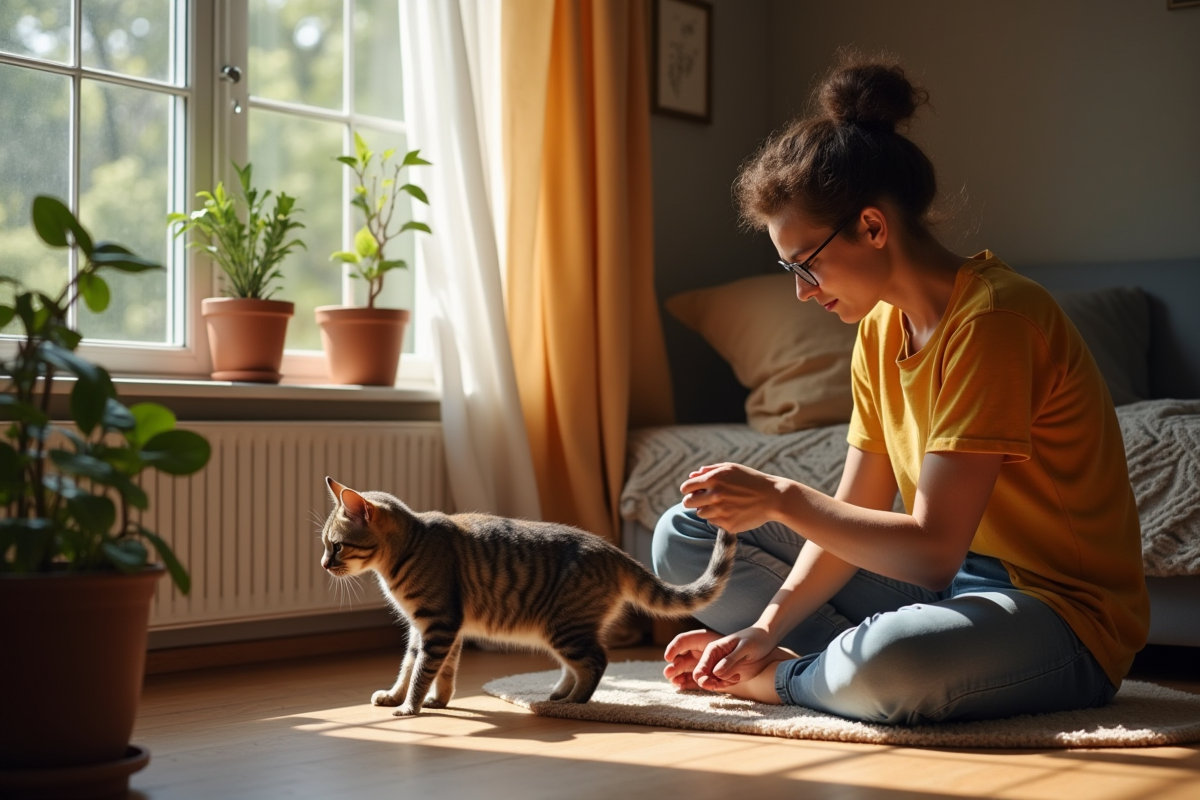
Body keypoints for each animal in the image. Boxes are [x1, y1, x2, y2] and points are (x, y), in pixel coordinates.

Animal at [319, 479, 729, 714]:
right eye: (326, 545)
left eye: (336, 546)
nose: (323, 564)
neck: (409, 549)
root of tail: (614, 552)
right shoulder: (431, 630)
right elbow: (421, 668)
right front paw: (414, 698)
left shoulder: (439, 624)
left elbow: (422, 671)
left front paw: (410, 707)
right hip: (564, 630)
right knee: (577, 666)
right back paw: (559, 694)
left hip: (565, 628)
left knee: (596, 662)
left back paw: (575, 702)